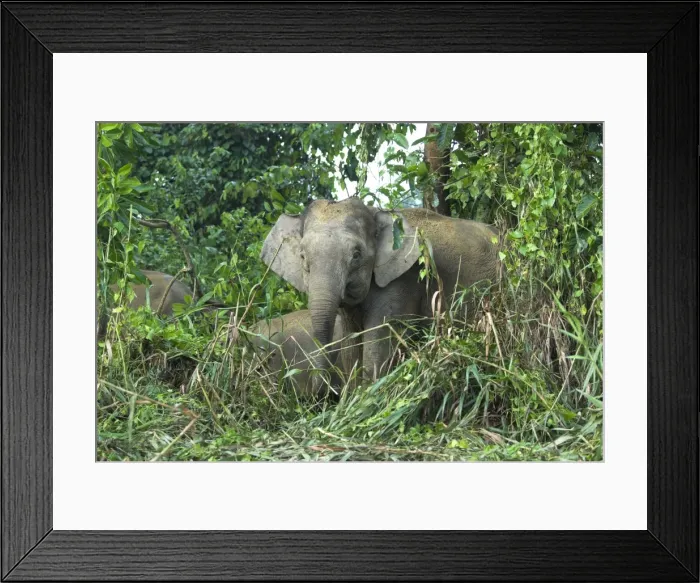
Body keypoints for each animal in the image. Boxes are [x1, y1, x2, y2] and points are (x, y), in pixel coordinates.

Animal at [260, 197, 501, 386]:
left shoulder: (403, 279)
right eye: (302, 256)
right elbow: (351, 345)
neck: (376, 212)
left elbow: (379, 342)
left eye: (356, 255)